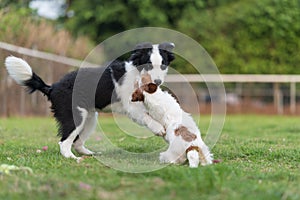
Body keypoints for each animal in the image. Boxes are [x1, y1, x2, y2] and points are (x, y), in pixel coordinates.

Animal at [4, 42, 175, 161]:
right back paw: (72, 158)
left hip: (89, 118)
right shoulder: (131, 106)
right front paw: (159, 129)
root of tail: (52, 87)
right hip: (75, 117)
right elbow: (148, 118)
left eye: (163, 65)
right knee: (64, 142)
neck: (138, 74)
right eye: (148, 64)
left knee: (77, 143)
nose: (157, 82)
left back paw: (89, 154)